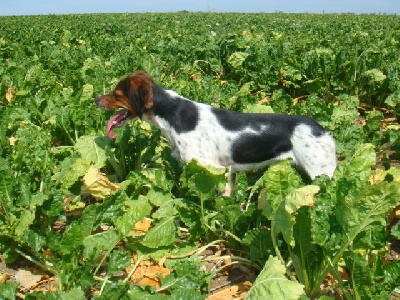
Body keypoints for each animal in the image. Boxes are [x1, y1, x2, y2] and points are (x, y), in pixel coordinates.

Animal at [95, 71, 336, 196]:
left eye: (116, 93)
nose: (96, 98)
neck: (172, 114)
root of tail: (320, 128)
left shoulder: (217, 169)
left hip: (322, 172)